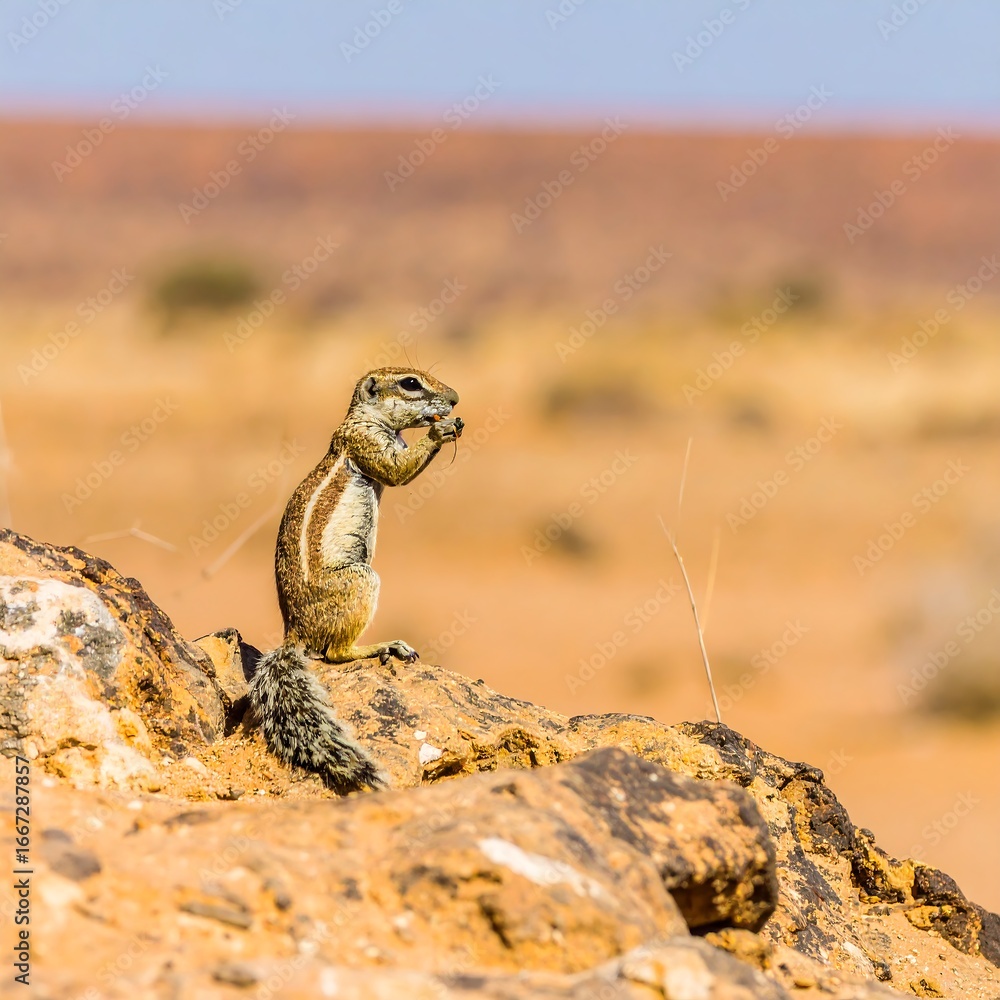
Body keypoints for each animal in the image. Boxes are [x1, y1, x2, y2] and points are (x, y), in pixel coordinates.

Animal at [249, 366, 463, 794]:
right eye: (410, 383)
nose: (455, 400)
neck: (366, 418)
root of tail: (295, 633)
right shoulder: (366, 444)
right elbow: (396, 471)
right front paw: (440, 430)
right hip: (362, 582)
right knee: (336, 654)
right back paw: (387, 646)